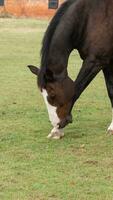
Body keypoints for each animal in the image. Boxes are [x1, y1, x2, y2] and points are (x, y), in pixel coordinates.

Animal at [27, 0, 113, 139]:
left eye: (52, 94)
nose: (57, 123)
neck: (89, 16)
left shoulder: (95, 62)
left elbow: (76, 89)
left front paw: (57, 130)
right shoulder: (107, 63)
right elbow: (111, 92)